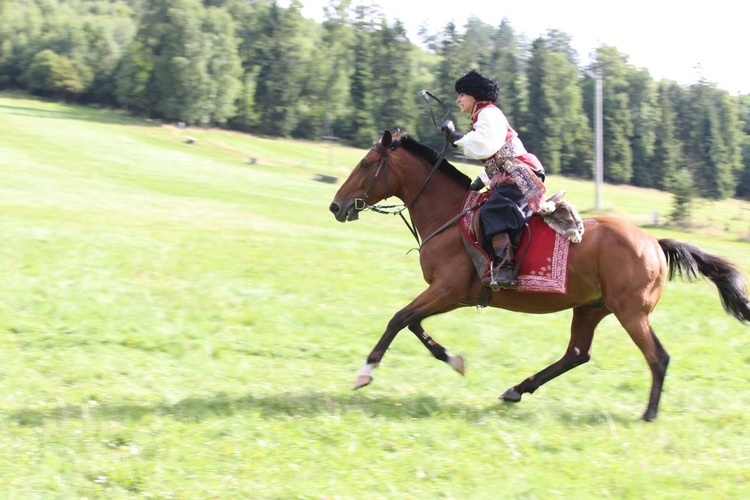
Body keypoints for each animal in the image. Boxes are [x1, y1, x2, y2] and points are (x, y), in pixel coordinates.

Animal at [330, 130, 750, 422]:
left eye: (365, 164)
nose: (335, 206)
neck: (448, 214)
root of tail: (653, 242)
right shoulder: (451, 294)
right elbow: (414, 324)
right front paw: (453, 359)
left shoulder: (447, 290)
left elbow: (399, 319)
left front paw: (365, 372)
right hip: (591, 308)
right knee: (577, 354)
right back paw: (517, 389)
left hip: (631, 312)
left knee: (657, 357)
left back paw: (648, 414)